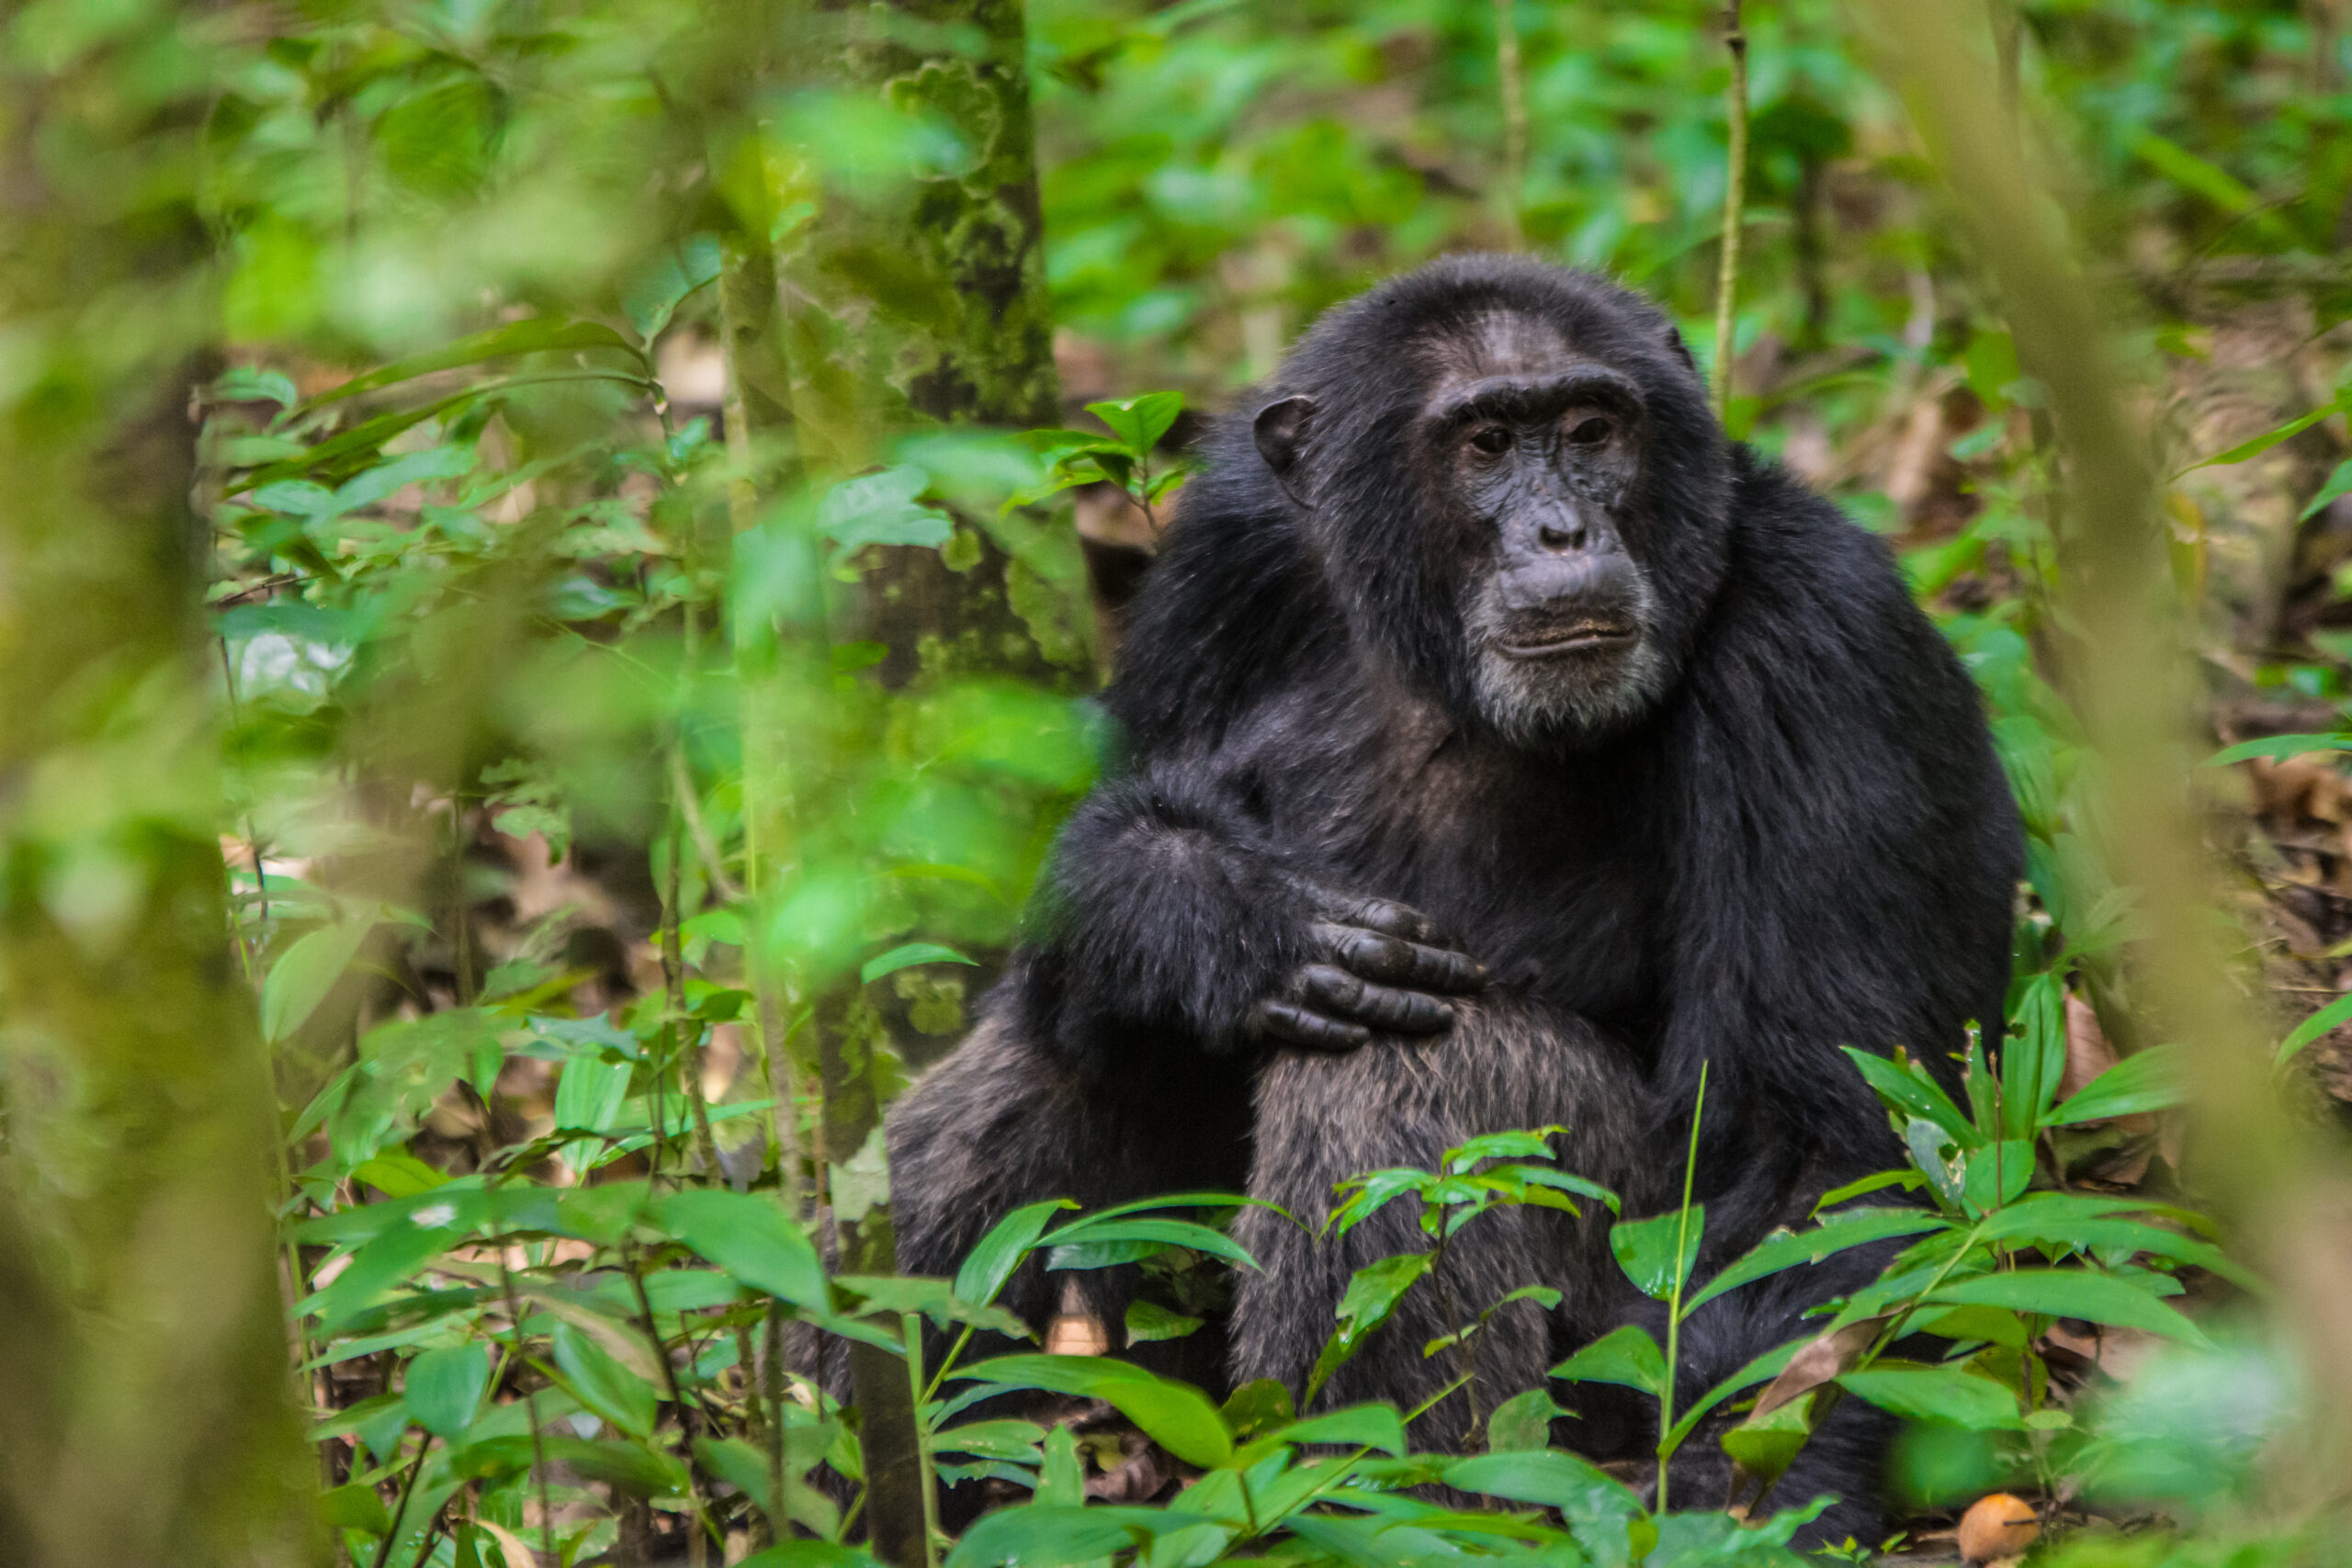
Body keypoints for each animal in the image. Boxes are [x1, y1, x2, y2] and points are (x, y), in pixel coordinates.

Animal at [884, 254, 2022, 1539]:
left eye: (1590, 431)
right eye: (1484, 445)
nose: (1561, 527)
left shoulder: (1822, 648)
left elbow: (1819, 1149)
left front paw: (1744, 1492)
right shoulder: (1218, 571)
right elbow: (1070, 929)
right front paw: (1198, 914)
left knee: (1408, 1071)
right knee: (1033, 1073)